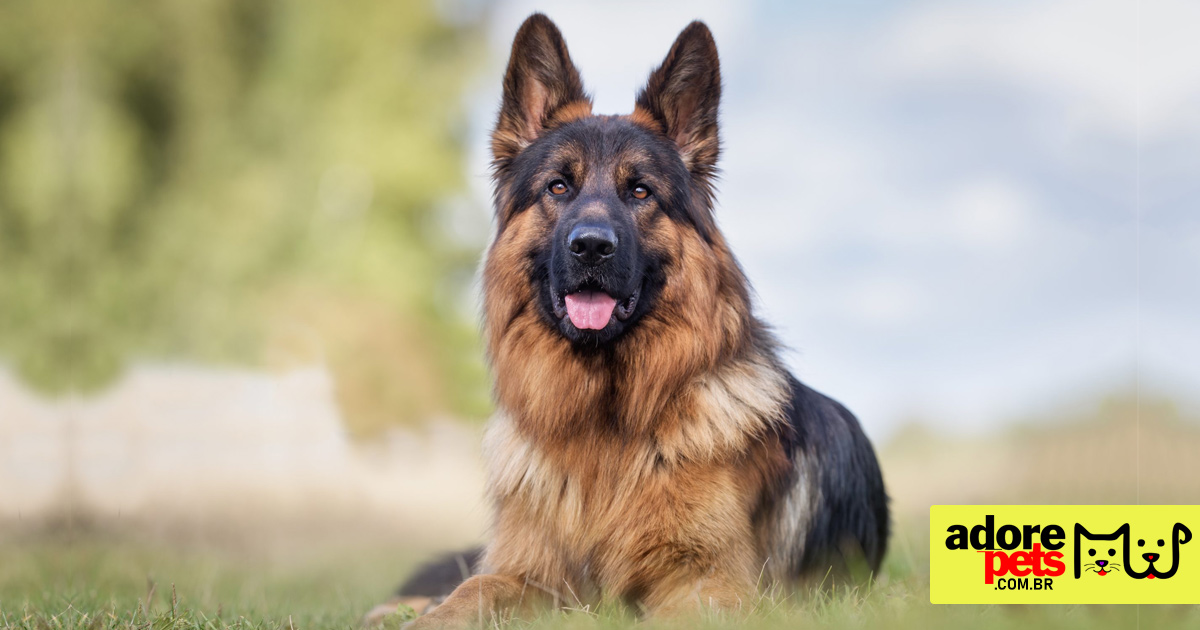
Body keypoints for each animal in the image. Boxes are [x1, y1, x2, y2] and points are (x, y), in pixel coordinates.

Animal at [384, 12, 892, 624]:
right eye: (559, 186)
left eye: (641, 191)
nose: (591, 246)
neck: (605, 427)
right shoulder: (528, 571)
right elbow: (470, 590)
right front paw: (429, 616)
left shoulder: (711, 585)